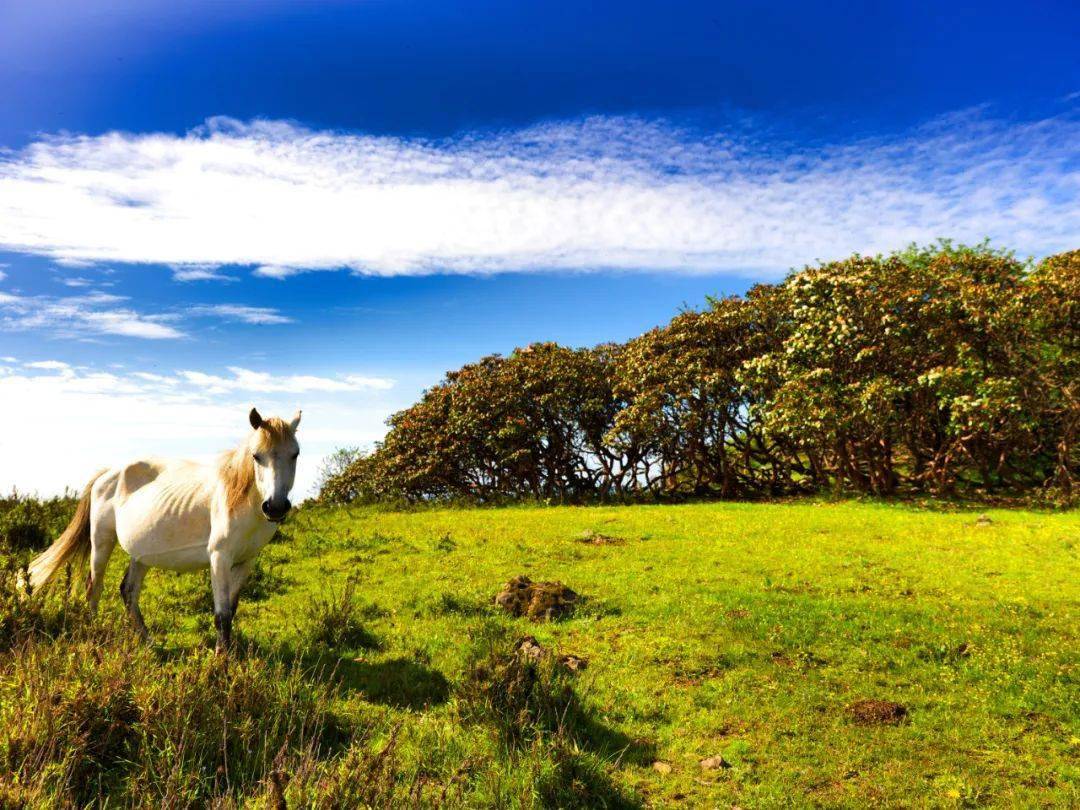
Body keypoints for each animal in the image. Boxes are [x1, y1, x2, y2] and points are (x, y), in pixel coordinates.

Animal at [27, 408, 302, 652]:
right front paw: (220, 663)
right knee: (94, 587)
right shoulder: (219, 558)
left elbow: (231, 611)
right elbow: (222, 615)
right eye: (256, 456)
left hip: (141, 554)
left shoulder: (246, 561)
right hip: (101, 541)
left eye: (295, 454)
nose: (275, 506)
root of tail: (108, 473)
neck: (242, 501)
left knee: (128, 591)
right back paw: (96, 633)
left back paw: (147, 641)